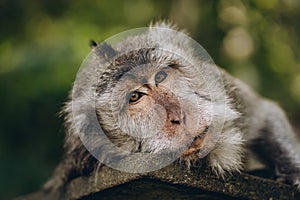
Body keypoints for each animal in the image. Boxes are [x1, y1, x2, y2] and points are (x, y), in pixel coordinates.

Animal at [43, 21, 300, 194]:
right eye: (134, 97)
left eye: (161, 76)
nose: (180, 115)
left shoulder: (228, 88)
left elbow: (266, 114)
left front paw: (293, 173)